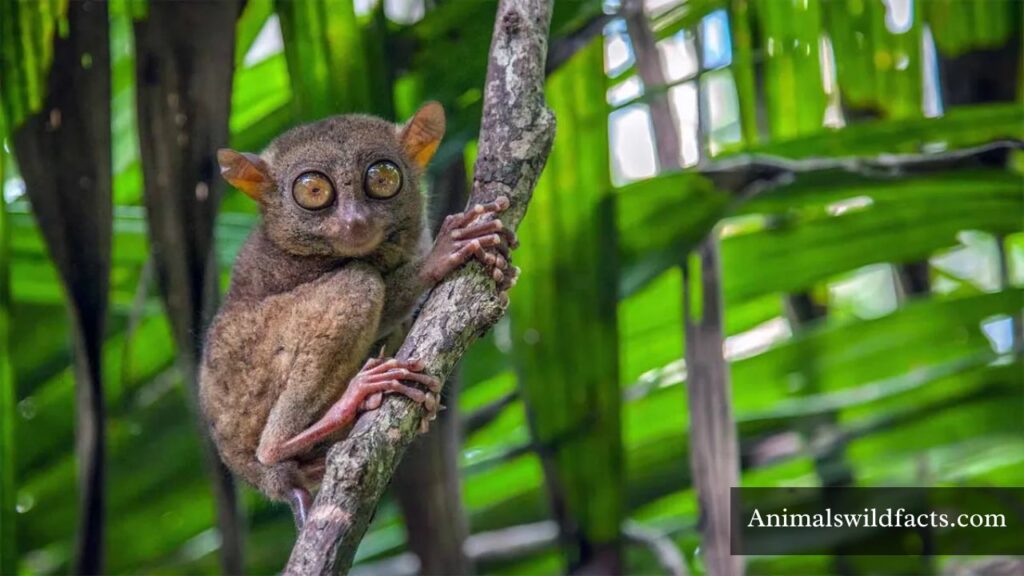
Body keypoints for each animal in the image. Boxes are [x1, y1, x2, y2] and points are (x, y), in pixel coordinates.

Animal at [198, 102, 517, 527]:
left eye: (382, 179)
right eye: (313, 191)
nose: (355, 221)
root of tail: (260, 478)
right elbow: (384, 289)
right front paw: (444, 251)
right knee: (359, 283)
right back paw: (349, 400)